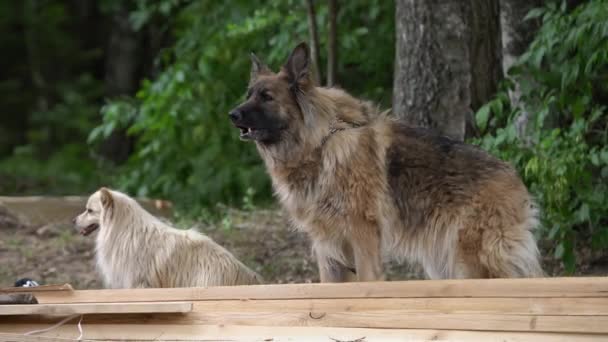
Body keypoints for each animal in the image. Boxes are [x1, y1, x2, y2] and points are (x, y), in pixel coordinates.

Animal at [228, 42, 540, 282]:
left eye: (267, 97)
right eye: (248, 95)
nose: (232, 114)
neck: (320, 143)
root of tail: (514, 176)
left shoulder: (362, 235)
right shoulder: (328, 246)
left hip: (472, 262)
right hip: (443, 263)